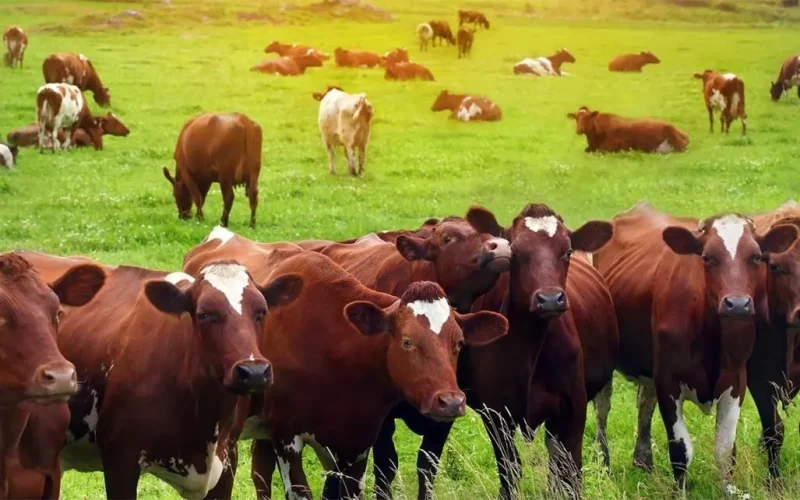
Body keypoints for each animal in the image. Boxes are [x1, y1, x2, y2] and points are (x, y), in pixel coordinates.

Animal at [367, 205, 616, 500]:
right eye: (516, 253)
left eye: (567, 251)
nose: (549, 299)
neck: (530, 348)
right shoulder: (497, 414)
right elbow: (510, 471)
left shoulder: (572, 408)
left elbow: (571, 473)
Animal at [592, 202, 798, 491]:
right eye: (707, 257)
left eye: (757, 257)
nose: (737, 304)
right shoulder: (669, 382)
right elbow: (681, 452)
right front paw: (680, 491)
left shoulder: (737, 382)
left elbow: (725, 450)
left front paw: (729, 490)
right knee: (602, 410)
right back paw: (604, 465)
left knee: (644, 401)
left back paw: (643, 461)